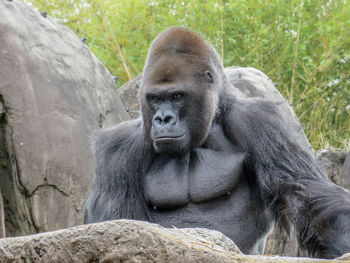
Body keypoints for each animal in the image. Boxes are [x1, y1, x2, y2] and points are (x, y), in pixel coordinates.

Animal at [84, 27, 350, 260]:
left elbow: (303, 190)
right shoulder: (120, 148)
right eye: (155, 98)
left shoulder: (261, 121)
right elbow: (113, 223)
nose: (163, 119)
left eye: (177, 96)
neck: (212, 117)